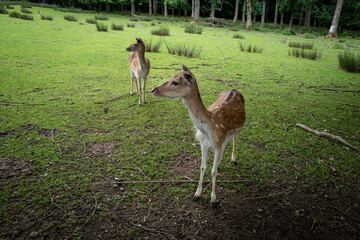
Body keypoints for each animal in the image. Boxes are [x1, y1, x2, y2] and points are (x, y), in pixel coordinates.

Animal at [150, 63, 246, 206]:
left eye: (175, 82)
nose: (153, 90)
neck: (209, 127)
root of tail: (234, 89)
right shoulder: (203, 144)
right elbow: (202, 167)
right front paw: (197, 194)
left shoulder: (217, 145)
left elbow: (213, 171)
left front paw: (213, 199)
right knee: (226, 144)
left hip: (237, 130)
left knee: (234, 138)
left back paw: (233, 158)